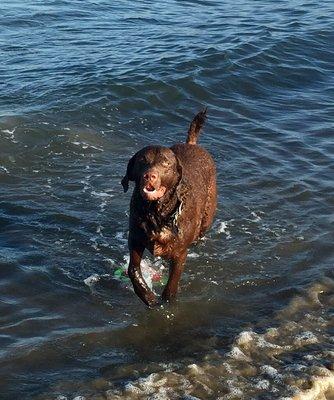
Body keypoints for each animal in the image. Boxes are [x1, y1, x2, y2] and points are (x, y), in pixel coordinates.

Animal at [122, 109, 217, 306]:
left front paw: (166, 302)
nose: (149, 176)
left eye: (165, 163)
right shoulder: (135, 240)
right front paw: (148, 296)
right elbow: (133, 270)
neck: (156, 213)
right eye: (142, 161)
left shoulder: (180, 253)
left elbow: (173, 283)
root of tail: (192, 144)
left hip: (207, 218)